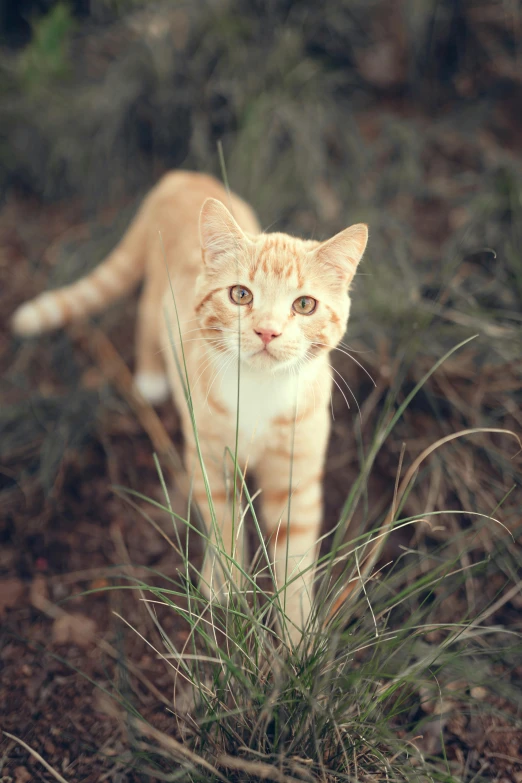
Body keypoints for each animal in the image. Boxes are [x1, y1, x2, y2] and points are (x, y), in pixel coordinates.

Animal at [13, 172, 370, 644]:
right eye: (241, 295)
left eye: (304, 304)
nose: (267, 332)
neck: (259, 390)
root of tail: (184, 177)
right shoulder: (209, 460)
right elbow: (223, 524)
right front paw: (225, 588)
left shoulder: (295, 475)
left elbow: (294, 559)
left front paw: (297, 636)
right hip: (157, 299)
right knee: (146, 318)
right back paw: (150, 379)